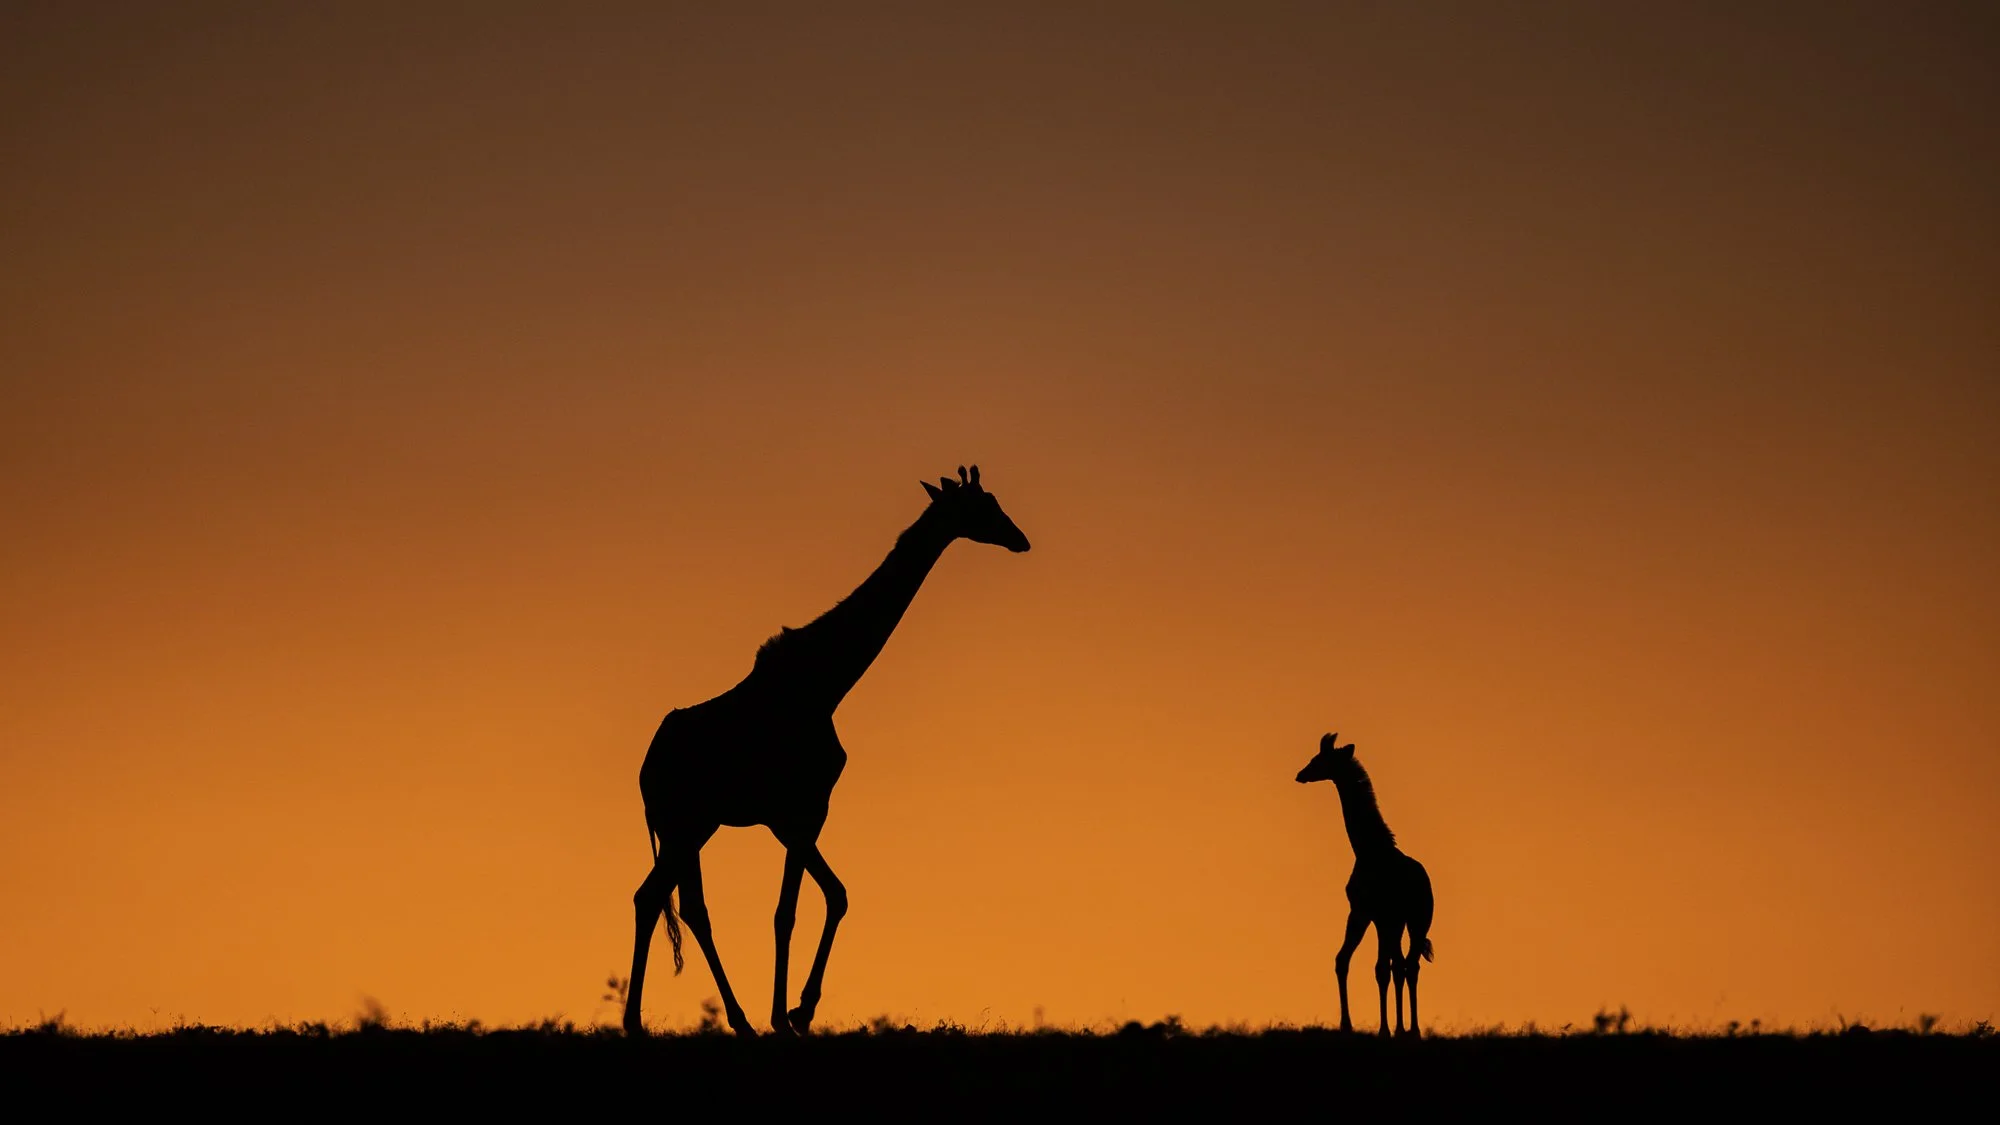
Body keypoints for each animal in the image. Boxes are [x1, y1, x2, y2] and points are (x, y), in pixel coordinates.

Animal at [623, 465, 1031, 1037]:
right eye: (981, 506)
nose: (1020, 539)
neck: (827, 682)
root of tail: (645, 769)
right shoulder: (804, 807)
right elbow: (787, 911)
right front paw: (785, 1014)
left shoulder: (795, 816)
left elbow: (834, 895)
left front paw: (800, 1010)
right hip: (685, 823)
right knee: (664, 900)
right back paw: (662, 1022)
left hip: (694, 827)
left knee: (675, 903)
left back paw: (719, 1021)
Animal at [1295, 732, 1435, 1038]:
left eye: (1319, 759)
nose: (1300, 774)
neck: (1367, 849)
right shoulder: (1369, 914)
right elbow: (1344, 960)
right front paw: (1349, 1026)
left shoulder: (1372, 913)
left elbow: (1378, 968)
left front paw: (1381, 1030)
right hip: (1405, 922)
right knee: (1404, 965)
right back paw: (1406, 1030)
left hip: (1413, 921)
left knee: (1406, 966)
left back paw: (1410, 1030)